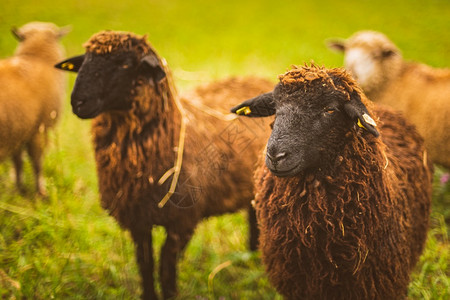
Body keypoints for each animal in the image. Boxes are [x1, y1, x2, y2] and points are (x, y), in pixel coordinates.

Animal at [0, 21, 70, 195]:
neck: (37, 57)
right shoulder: (39, 129)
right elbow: (37, 162)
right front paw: (41, 193)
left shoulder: (19, 131)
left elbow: (17, 161)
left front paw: (19, 189)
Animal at [55, 31, 274, 300]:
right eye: (83, 61)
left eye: (124, 63)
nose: (78, 102)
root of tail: (257, 79)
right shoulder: (138, 219)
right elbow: (145, 264)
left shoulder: (182, 221)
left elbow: (166, 268)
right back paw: (250, 257)